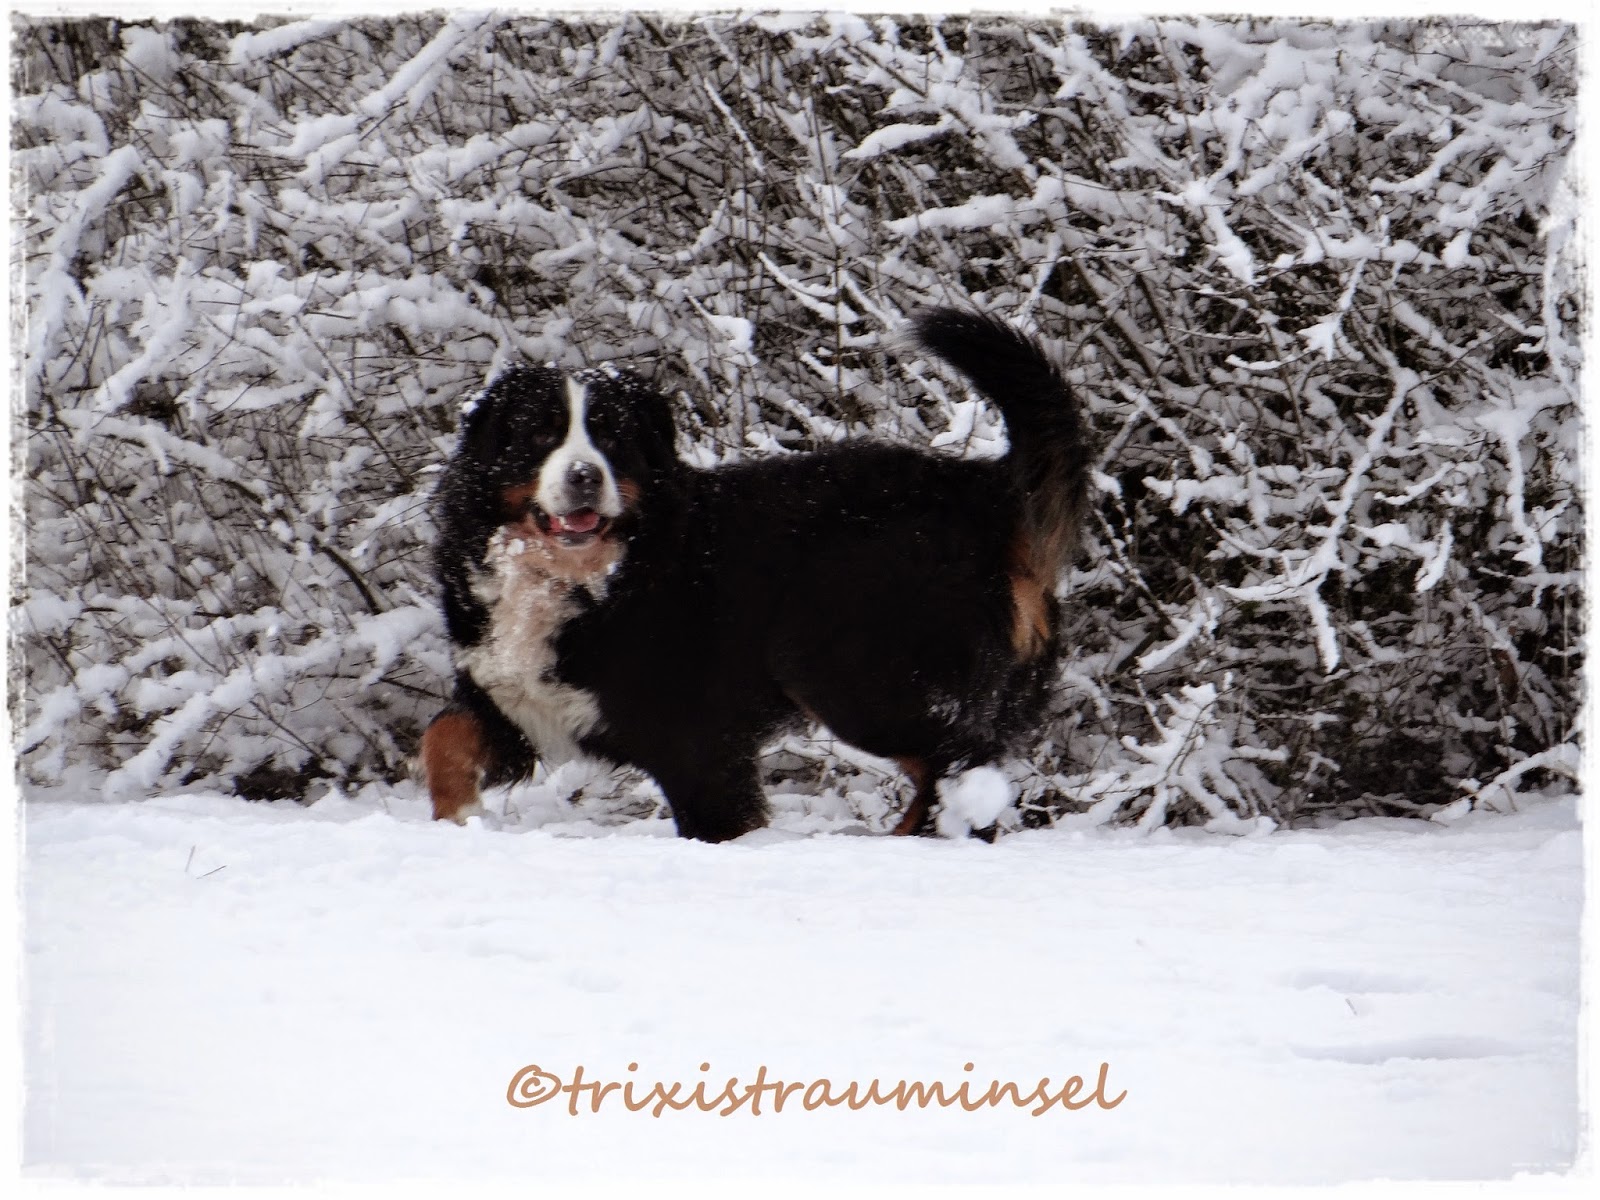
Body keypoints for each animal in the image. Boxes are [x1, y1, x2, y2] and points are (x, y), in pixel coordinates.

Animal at [420, 309, 1089, 841]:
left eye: (612, 439)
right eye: (540, 434)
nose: (585, 476)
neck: (582, 575)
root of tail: (982, 487)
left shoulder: (696, 738)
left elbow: (717, 821)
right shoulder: (510, 694)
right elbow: (442, 735)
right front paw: (457, 818)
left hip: (850, 668)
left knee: (958, 768)